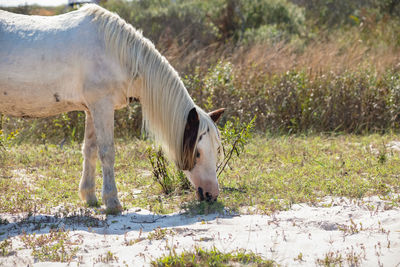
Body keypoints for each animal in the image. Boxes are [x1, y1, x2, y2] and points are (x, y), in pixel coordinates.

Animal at [0, 3, 225, 214]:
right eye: (197, 153)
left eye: (216, 149)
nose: (212, 194)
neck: (117, 54)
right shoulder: (102, 106)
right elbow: (107, 152)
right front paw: (112, 202)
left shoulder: (91, 109)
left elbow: (90, 150)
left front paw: (90, 197)